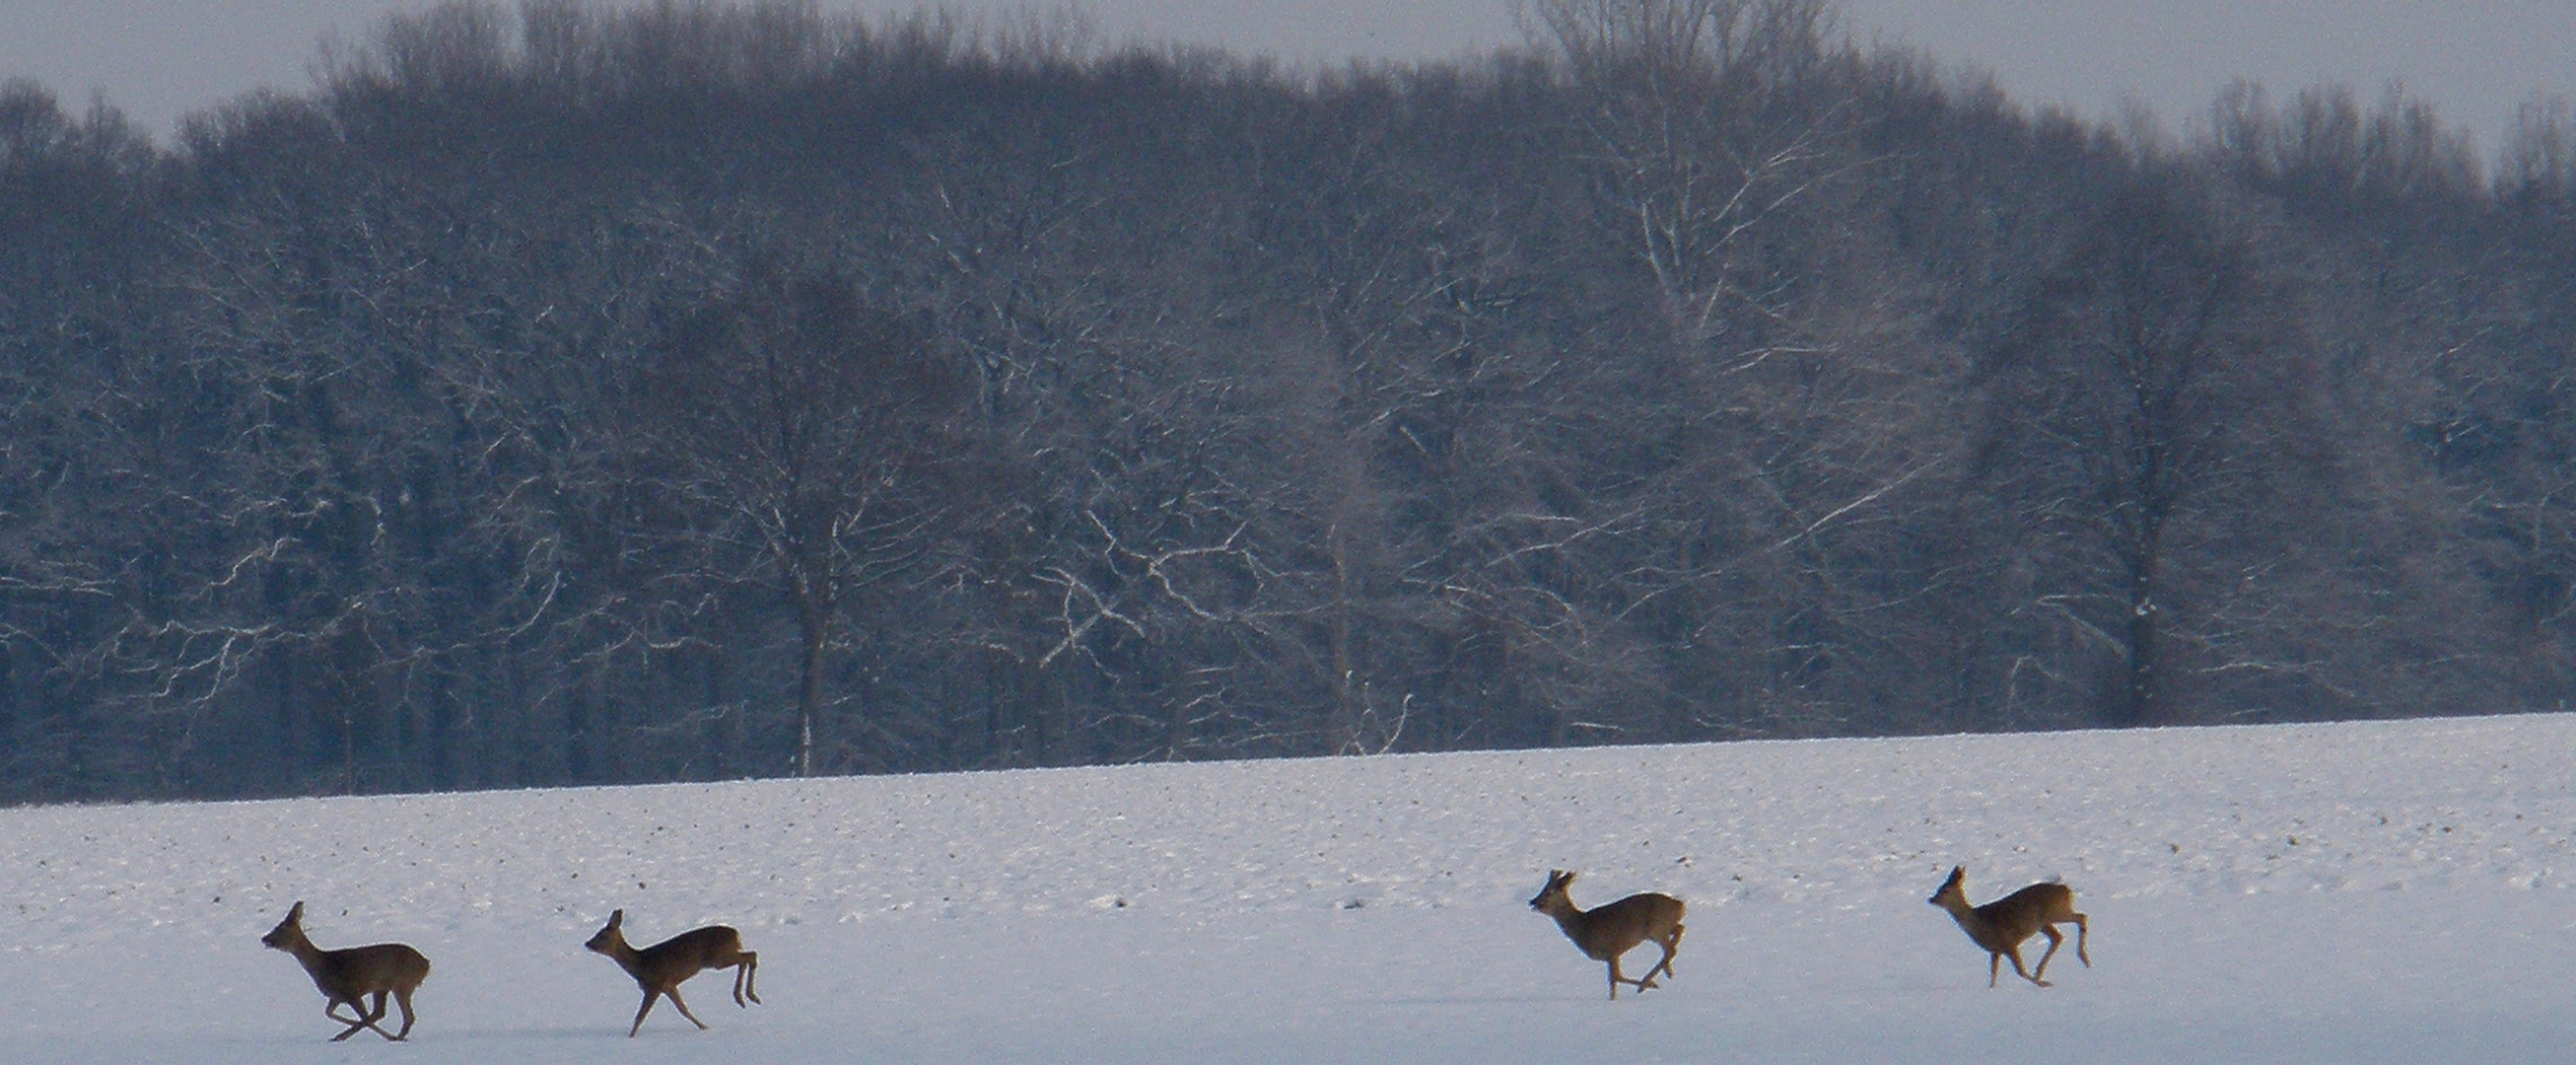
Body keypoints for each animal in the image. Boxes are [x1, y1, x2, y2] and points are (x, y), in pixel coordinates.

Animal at [258, 897, 430, 1036]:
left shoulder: (352, 991)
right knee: (384, 1013)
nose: (264, 938)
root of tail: (426, 964)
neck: (322, 965)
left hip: (401, 982)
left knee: (397, 1015)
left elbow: (361, 1016)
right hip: (383, 986)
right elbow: (328, 1013)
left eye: (281, 929)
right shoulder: (336, 996)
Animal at [590, 907, 762, 1031]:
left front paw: (631, 1036)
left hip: (718, 959)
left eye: (602, 936)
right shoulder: (669, 986)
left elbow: (640, 1016)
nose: (588, 943)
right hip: (721, 957)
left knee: (751, 956)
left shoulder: (655, 986)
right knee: (748, 957)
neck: (640, 964)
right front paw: (704, 1027)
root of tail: (736, 933)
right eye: (596, 933)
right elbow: (683, 1009)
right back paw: (743, 998)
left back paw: (748, 996)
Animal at [1524, 866, 1690, 1000]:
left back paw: (1648, 982)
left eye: (1549, 892)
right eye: (1543, 889)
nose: (1533, 901)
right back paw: (1666, 972)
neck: (1583, 926)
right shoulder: (1612, 955)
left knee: (1671, 948)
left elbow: (1615, 979)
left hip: (1656, 928)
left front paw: (1649, 985)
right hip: (1662, 928)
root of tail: (1680, 905)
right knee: (1679, 931)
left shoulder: (1612, 950)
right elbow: (1616, 979)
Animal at [1936, 861, 2091, 990]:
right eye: (1938, 888)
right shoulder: (1995, 950)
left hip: (2056, 912)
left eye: (1945, 890)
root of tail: (2066, 890)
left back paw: (2084, 959)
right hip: (2044, 923)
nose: (1932, 899)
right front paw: (1991, 989)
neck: (1978, 923)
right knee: (2057, 937)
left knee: (2081, 917)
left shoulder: (2009, 943)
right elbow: (1993, 973)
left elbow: (2020, 972)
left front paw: (2044, 984)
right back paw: (2041, 971)